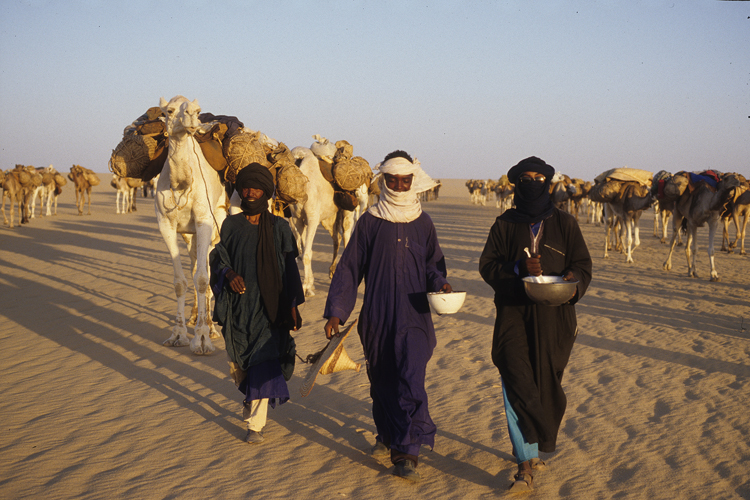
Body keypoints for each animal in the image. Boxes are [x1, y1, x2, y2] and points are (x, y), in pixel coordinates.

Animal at [154, 95, 228, 354]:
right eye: (169, 110)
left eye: (197, 109)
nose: (193, 115)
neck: (180, 183)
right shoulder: (165, 224)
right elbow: (180, 282)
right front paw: (178, 334)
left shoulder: (205, 221)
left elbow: (204, 279)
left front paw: (203, 339)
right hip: (190, 236)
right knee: (196, 264)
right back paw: (196, 317)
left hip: (218, 224)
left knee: (207, 272)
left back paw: (211, 328)